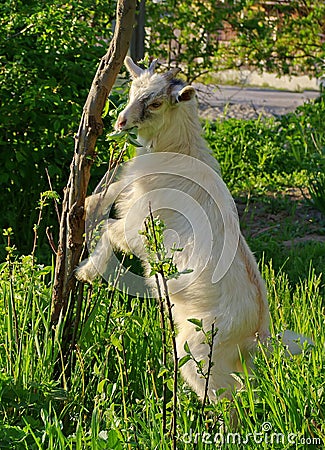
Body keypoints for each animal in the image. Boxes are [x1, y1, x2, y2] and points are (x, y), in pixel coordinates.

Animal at [76, 57, 312, 400]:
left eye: (156, 103)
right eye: (132, 91)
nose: (120, 122)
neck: (179, 151)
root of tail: (258, 333)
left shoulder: (139, 230)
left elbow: (108, 229)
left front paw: (86, 271)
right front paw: (89, 204)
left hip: (199, 352)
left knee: (224, 399)